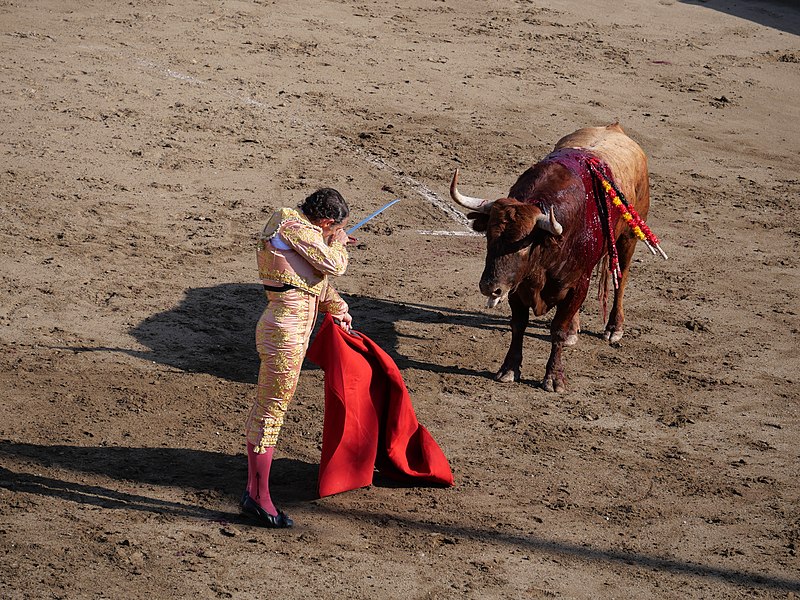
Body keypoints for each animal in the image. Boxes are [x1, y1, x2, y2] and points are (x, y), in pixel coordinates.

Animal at [450, 124, 664, 392]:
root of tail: (615, 128)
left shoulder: (577, 284)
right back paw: (576, 329)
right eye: (489, 236)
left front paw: (554, 378)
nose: (490, 287)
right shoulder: (517, 287)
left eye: (523, 246)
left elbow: (557, 330)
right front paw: (509, 369)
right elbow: (518, 325)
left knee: (621, 280)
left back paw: (614, 328)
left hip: (628, 238)